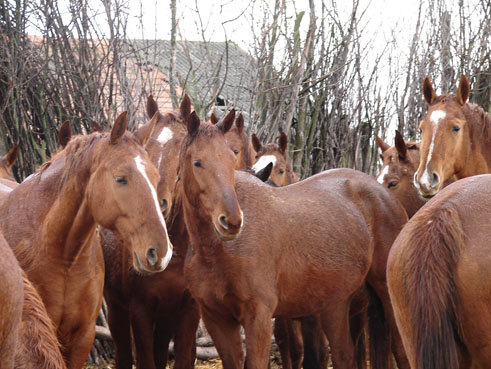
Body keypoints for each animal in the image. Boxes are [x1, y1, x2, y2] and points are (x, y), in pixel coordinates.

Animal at [103, 94, 201, 368]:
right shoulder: (140, 311)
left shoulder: (188, 311)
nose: (157, 201)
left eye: (182, 147)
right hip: (117, 309)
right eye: (146, 150)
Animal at [181, 113, 412, 368]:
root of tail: (385, 196)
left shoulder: (259, 317)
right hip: (336, 305)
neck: (217, 251)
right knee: (344, 355)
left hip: (386, 295)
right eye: (197, 162)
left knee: (401, 350)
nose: (231, 221)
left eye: (233, 159)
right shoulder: (217, 320)